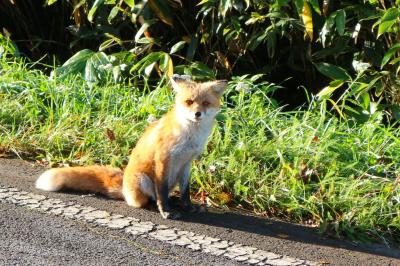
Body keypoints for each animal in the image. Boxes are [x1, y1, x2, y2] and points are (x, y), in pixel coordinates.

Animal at [35, 75, 228, 218]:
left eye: (205, 103)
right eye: (189, 101)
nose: (197, 114)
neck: (190, 135)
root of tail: (124, 187)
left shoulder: (187, 162)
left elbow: (185, 191)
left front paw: (187, 207)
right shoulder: (163, 159)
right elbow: (161, 191)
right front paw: (165, 211)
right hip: (142, 180)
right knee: (144, 201)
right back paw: (154, 206)